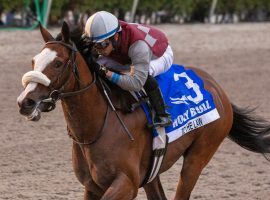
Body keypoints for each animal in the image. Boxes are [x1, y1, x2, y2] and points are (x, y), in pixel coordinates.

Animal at [17, 22, 270, 200]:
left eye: (58, 63)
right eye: (33, 61)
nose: (25, 102)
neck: (96, 127)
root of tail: (219, 89)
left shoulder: (126, 184)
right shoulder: (93, 187)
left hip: (199, 155)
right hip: (151, 173)